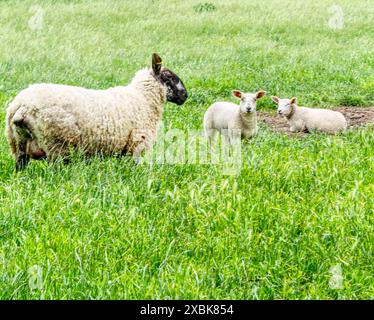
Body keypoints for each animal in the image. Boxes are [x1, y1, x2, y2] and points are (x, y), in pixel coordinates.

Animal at [4, 53, 188, 171]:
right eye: (169, 77)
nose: (185, 96)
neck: (143, 98)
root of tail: (22, 106)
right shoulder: (136, 144)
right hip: (57, 145)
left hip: (18, 144)